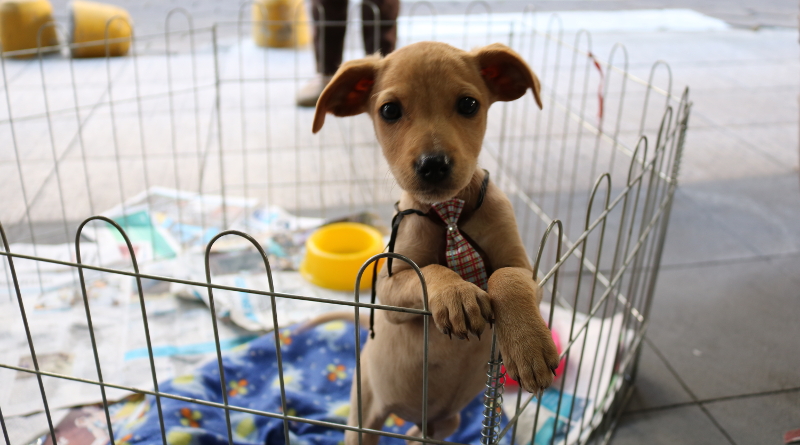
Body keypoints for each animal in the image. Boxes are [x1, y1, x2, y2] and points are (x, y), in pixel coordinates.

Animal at [310, 40, 560, 440]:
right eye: (389, 110)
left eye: (469, 104)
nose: (433, 165)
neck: (448, 214)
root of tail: (412, 417)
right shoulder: (388, 289)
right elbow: (428, 271)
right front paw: (456, 294)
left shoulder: (525, 268)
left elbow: (506, 278)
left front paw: (529, 347)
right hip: (364, 414)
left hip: (446, 422)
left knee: (423, 436)